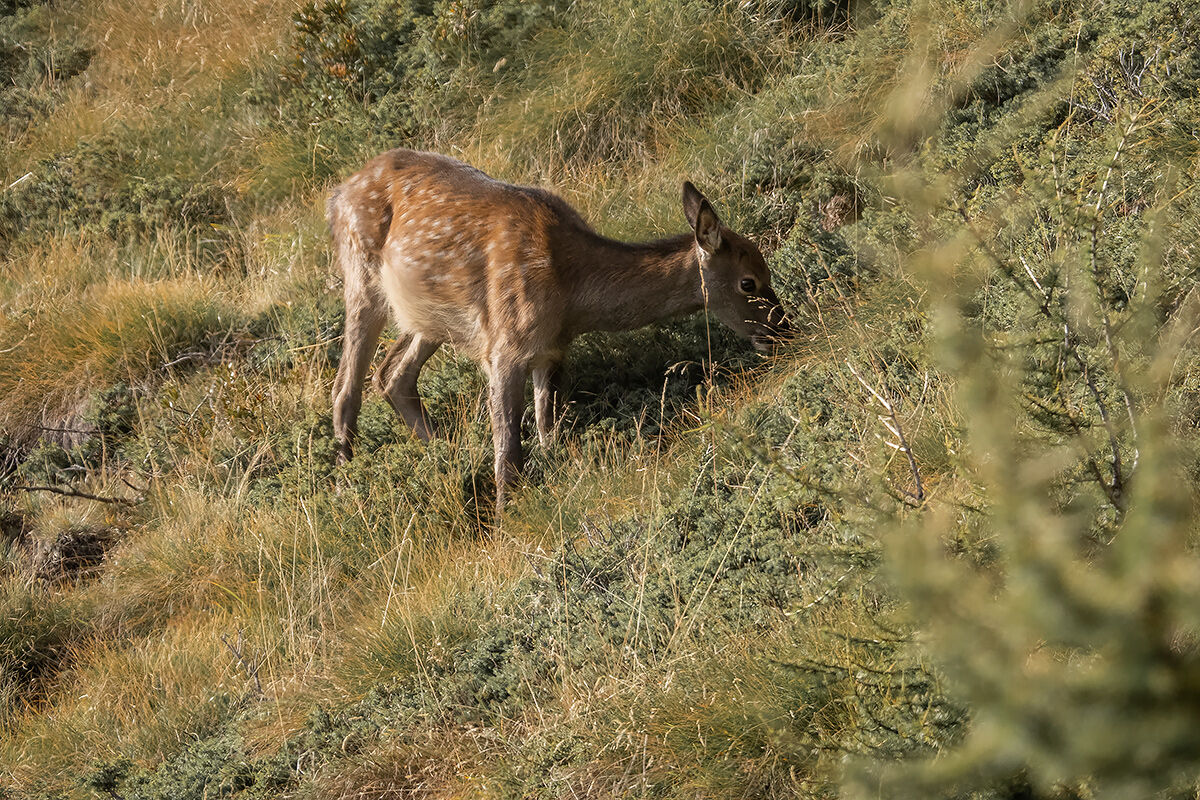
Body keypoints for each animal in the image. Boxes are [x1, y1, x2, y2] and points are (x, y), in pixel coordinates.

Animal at [328, 149, 790, 507]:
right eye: (748, 282)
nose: (784, 332)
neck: (571, 295)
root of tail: (339, 193)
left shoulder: (550, 350)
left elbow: (548, 433)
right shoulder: (505, 348)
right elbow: (509, 454)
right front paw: (505, 520)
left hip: (431, 317)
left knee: (393, 375)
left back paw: (445, 455)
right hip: (360, 275)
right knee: (346, 386)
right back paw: (346, 482)